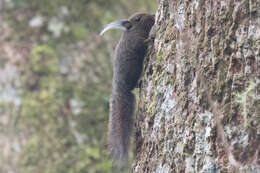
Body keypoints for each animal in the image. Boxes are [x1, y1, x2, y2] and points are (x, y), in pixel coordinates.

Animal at [99, 12, 154, 166]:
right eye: (138, 19)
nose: (154, 16)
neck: (133, 32)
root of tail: (119, 88)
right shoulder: (135, 42)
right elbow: (142, 44)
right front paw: (151, 38)